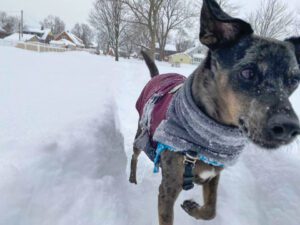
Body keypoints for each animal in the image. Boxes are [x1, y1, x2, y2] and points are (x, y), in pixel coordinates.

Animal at [128, 0, 300, 224]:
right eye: (248, 72)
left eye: (294, 80)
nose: (289, 127)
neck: (212, 136)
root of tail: (157, 77)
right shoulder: (167, 190)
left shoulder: (213, 175)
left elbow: (211, 210)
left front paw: (193, 208)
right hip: (140, 133)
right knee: (134, 156)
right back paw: (132, 179)